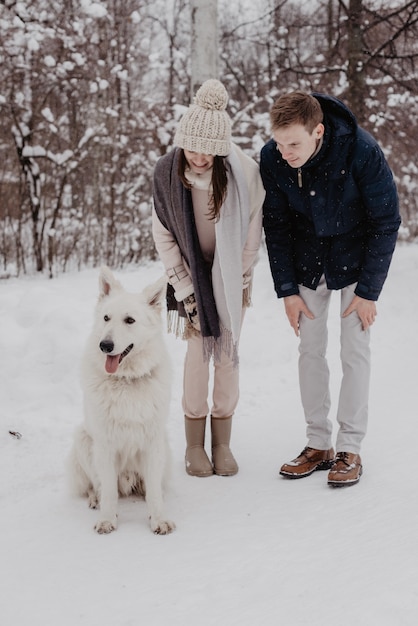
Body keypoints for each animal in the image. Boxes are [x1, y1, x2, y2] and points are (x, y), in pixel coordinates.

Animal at [68, 266, 176, 532]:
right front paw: (107, 519)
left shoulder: (152, 442)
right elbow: (108, 490)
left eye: (129, 320)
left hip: (163, 446)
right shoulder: (105, 445)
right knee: (94, 485)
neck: (126, 380)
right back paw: (95, 499)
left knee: (151, 485)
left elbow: (154, 492)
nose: (105, 345)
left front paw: (158, 518)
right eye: (106, 318)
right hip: (84, 440)